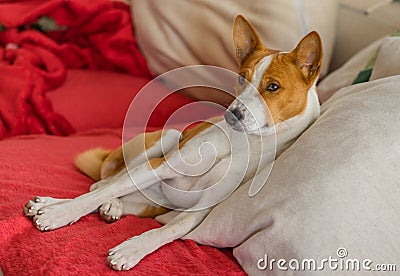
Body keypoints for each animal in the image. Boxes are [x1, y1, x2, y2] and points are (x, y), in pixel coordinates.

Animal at [23, 14, 324, 270]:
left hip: (153, 201)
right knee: (102, 185)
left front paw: (131, 250)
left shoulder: (201, 209)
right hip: (166, 138)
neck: (243, 143)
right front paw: (58, 214)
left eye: (273, 87)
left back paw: (111, 208)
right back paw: (50, 204)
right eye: (241, 78)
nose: (231, 114)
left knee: (116, 194)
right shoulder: (160, 165)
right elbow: (93, 195)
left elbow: (168, 231)